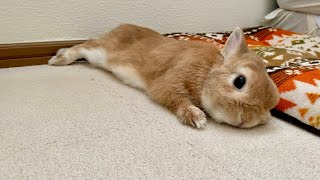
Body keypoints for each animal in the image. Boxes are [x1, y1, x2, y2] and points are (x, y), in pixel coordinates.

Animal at [48, 23, 280, 128]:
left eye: (271, 105)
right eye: (240, 81)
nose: (245, 121)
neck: (207, 72)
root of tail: (119, 27)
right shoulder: (171, 80)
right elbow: (172, 96)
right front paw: (197, 118)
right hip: (102, 52)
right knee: (82, 47)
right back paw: (58, 59)